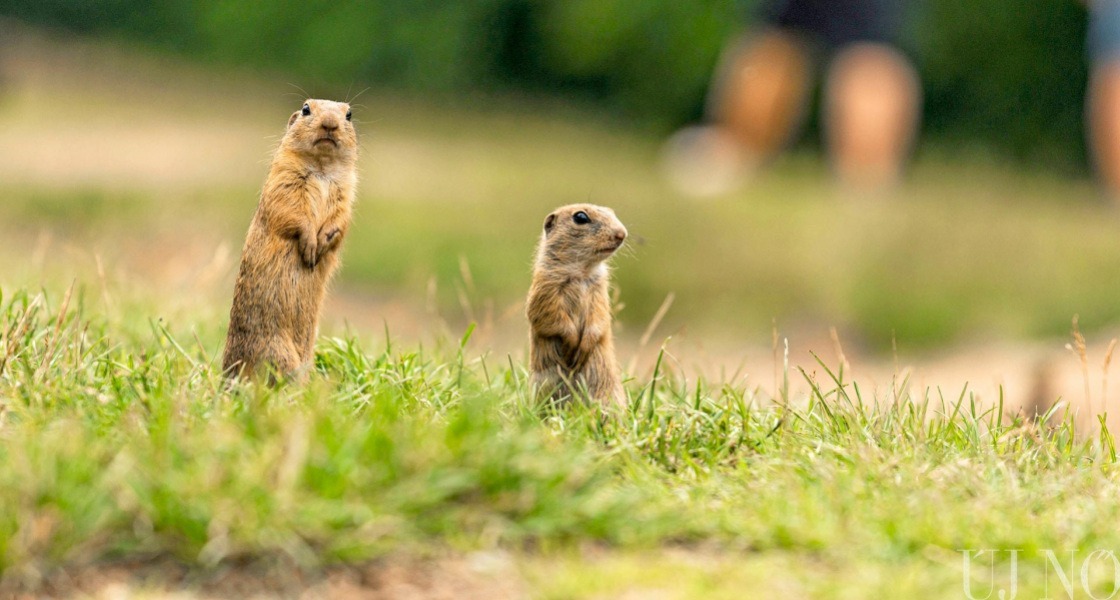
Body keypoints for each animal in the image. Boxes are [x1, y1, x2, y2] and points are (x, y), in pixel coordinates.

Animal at [220, 97, 356, 380]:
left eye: (349, 114)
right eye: (306, 109)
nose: (330, 123)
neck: (322, 168)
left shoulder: (346, 193)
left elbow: (339, 221)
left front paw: (322, 245)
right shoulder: (283, 180)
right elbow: (293, 211)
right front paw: (310, 248)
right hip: (277, 351)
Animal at [526, 204, 631, 407]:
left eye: (611, 211)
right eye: (580, 217)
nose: (622, 234)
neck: (581, 271)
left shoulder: (599, 291)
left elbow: (600, 317)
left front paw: (582, 347)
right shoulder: (546, 287)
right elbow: (547, 315)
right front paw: (572, 345)